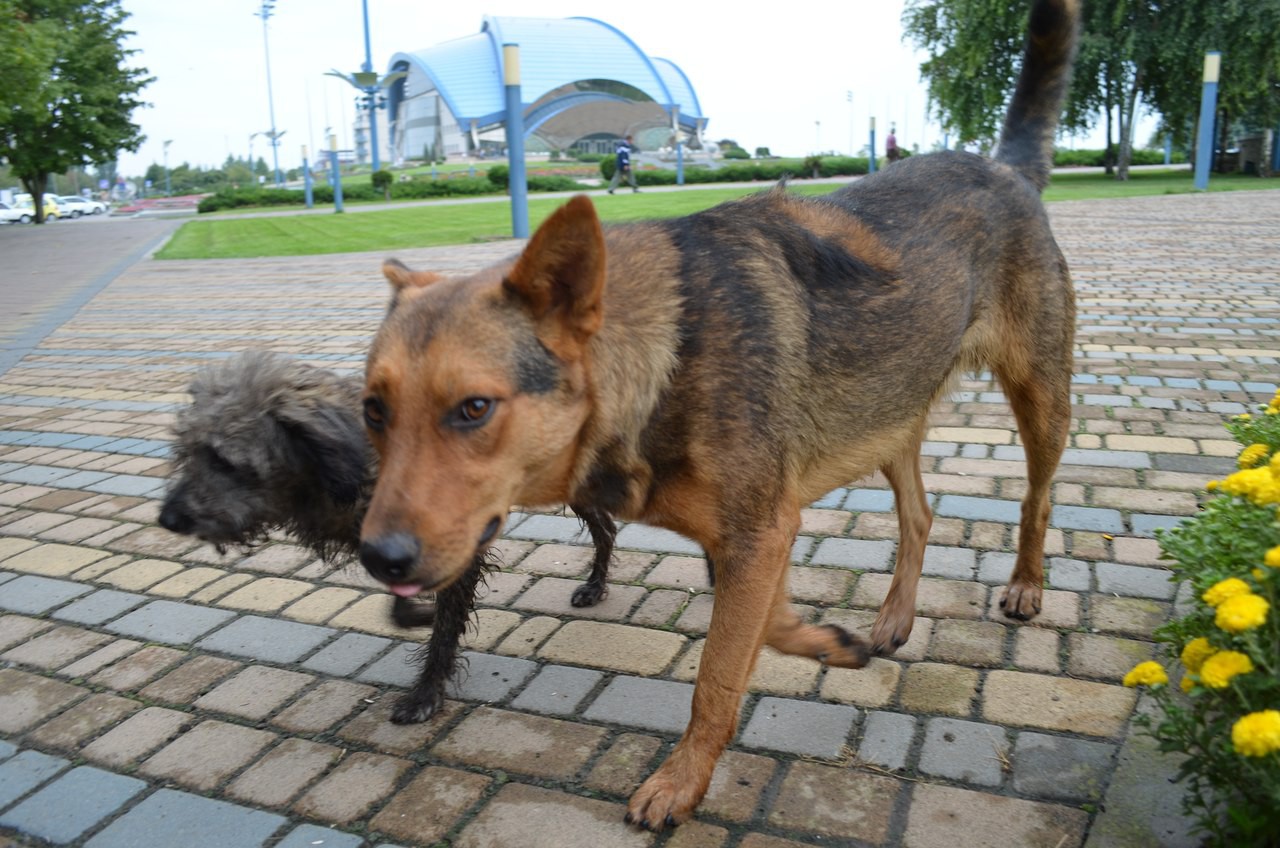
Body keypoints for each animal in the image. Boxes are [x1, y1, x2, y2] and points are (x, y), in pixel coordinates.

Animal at [160, 350, 619, 722]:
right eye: (186, 451)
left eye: (224, 459)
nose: (168, 519)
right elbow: (401, 607)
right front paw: (422, 614)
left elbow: (442, 633)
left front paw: (426, 693)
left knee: (605, 527)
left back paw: (596, 585)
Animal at [360, 0, 1080, 830]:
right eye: (373, 411)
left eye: (474, 409)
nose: (378, 559)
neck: (664, 353)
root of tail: (1001, 166)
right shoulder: (751, 538)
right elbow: (767, 625)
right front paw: (827, 642)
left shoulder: (759, 533)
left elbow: (716, 676)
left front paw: (683, 781)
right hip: (888, 412)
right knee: (920, 515)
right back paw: (894, 617)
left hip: (1039, 400)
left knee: (1037, 497)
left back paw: (1025, 583)